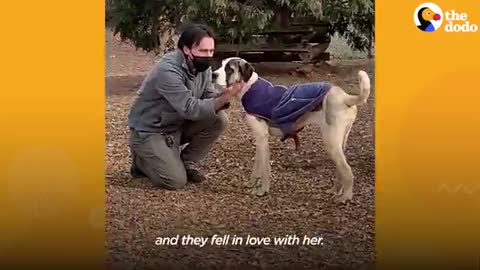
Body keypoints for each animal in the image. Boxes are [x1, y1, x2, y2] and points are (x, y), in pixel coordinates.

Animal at [213, 58, 372, 204]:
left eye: (229, 69)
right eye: (221, 65)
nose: (213, 74)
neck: (249, 87)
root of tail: (344, 96)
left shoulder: (262, 138)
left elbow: (265, 169)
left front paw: (262, 191)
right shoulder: (259, 138)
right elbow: (257, 166)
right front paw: (252, 184)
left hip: (330, 142)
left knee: (347, 171)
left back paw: (346, 197)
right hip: (340, 141)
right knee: (341, 169)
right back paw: (335, 190)